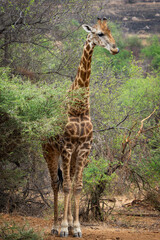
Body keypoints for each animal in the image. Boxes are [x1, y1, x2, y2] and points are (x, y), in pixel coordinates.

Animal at [42, 17, 119, 237]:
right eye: (99, 34)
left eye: (111, 32)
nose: (115, 49)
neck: (80, 107)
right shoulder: (67, 146)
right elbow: (67, 186)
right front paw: (64, 228)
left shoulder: (83, 148)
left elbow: (77, 186)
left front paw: (76, 227)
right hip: (49, 151)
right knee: (55, 184)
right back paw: (55, 226)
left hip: (72, 155)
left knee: (64, 182)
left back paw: (66, 223)